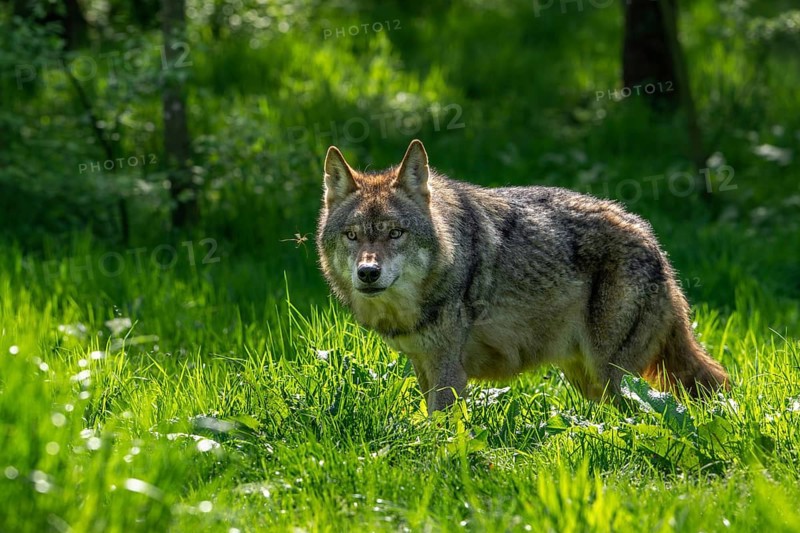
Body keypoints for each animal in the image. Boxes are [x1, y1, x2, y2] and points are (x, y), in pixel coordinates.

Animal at [316, 139, 729, 412]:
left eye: (395, 233)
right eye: (352, 236)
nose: (368, 273)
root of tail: (653, 241)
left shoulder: (449, 371)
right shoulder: (423, 365)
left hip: (608, 374)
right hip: (587, 380)